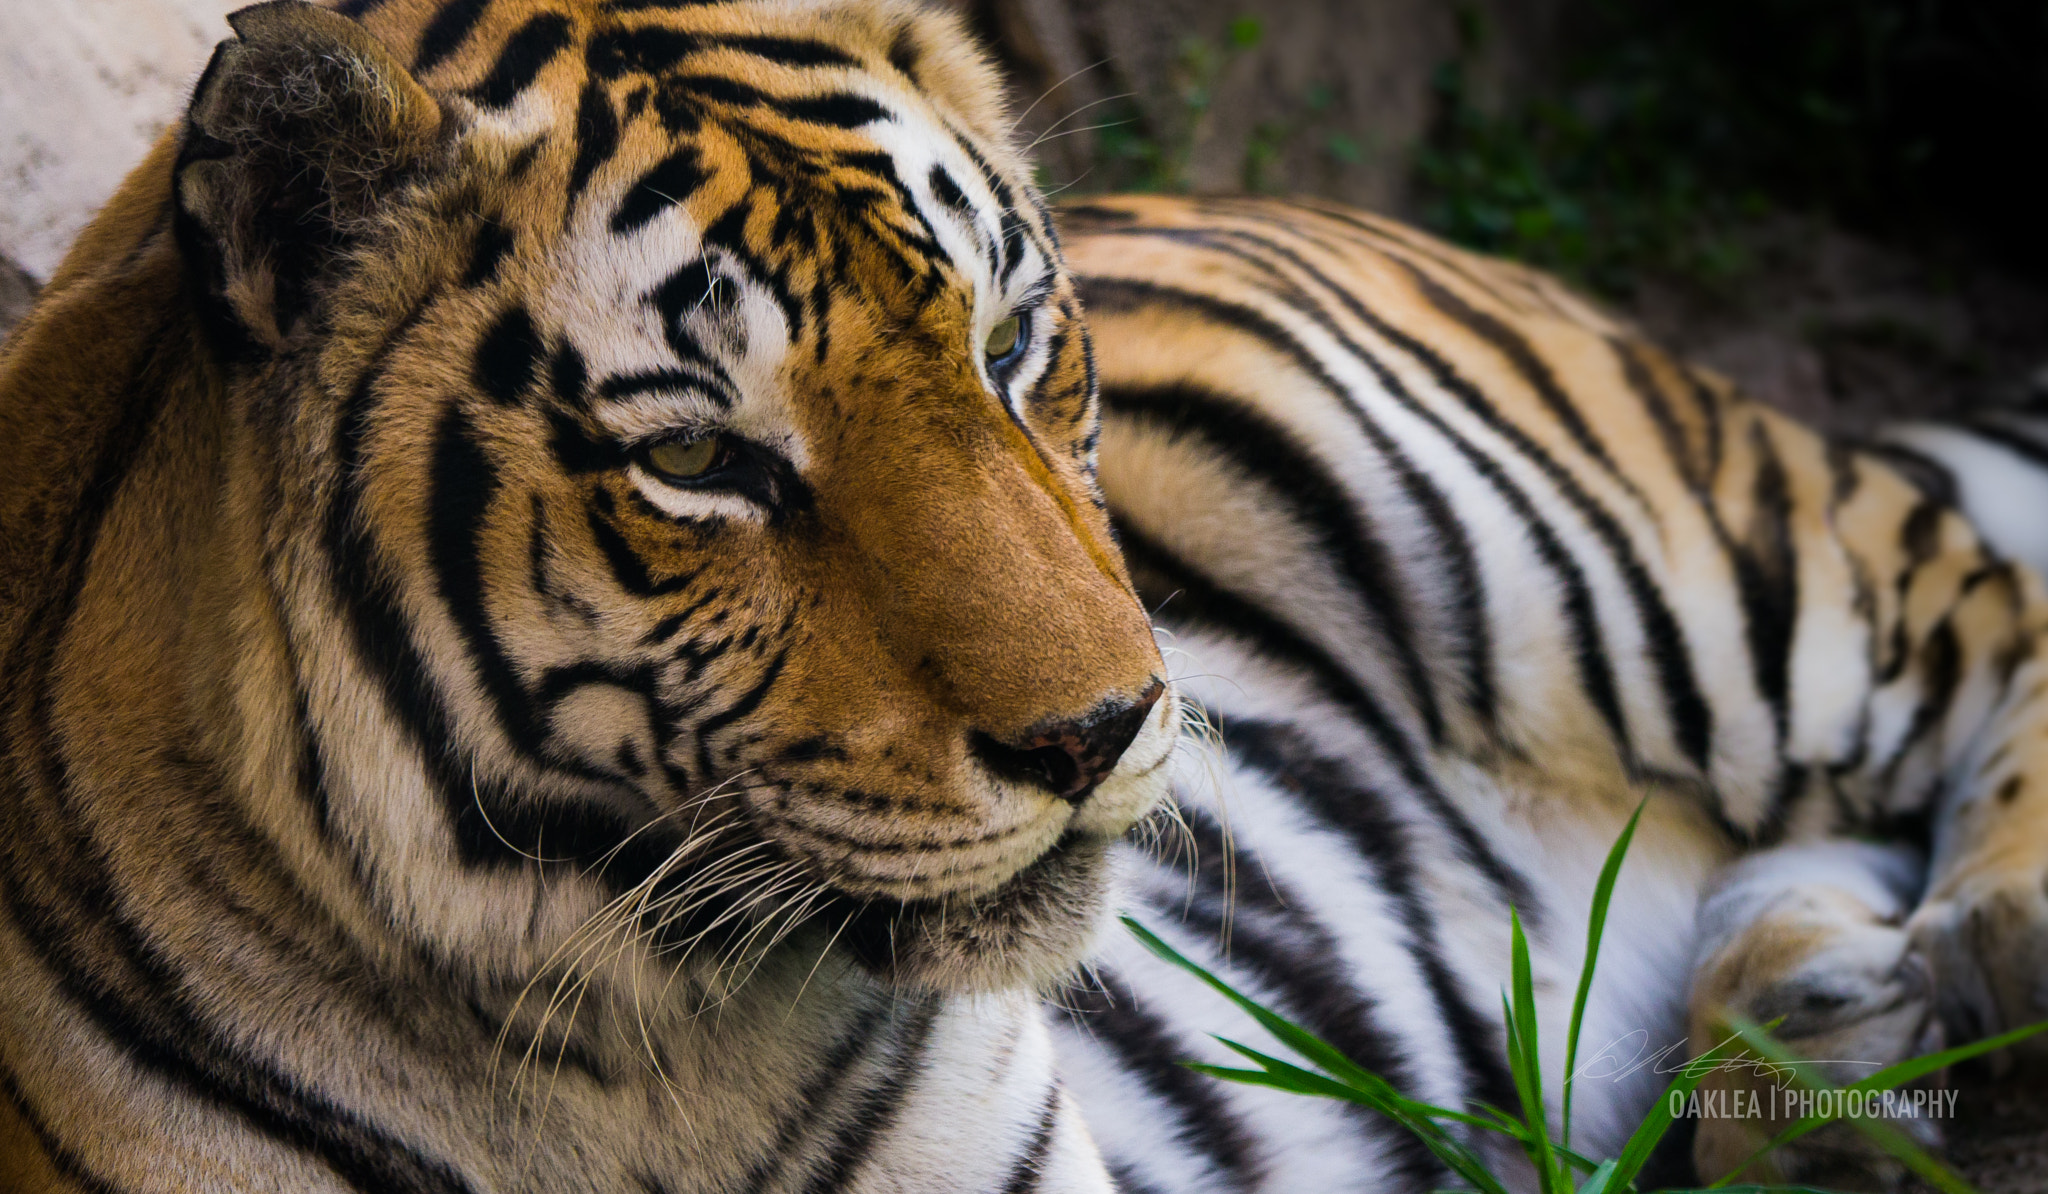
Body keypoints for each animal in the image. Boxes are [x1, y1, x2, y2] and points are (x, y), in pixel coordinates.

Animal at [2, 2, 2046, 1193]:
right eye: (705, 459)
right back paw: (1825, 1030)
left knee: (1986, 606)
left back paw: (1984, 958)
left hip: (1639, 571)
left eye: (1006, 348)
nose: (1103, 728)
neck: (623, 1063)